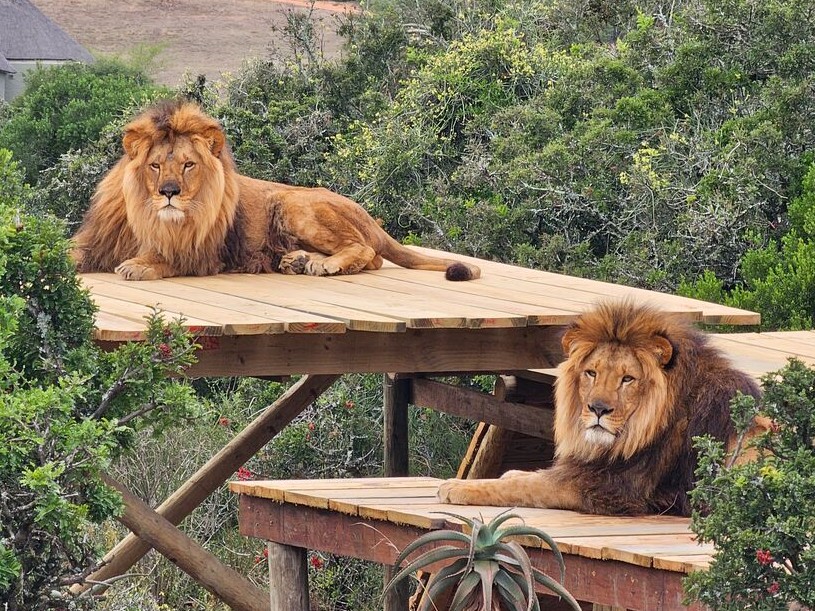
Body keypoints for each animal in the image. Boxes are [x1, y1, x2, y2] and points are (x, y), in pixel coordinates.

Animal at [70, 99, 480, 282]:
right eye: (155, 165)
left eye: (188, 164)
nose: (169, 191)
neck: (151, 216)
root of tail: (366, 214)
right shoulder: (97, 240)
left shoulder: (204, 255)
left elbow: (167, 259)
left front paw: (138, 265)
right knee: (375, 258)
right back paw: (296, 261)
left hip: (296, 205)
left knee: (365, 249)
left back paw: (323, 264)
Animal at [438, 301, 766, 516]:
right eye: (591, 373)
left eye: (627, 379)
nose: (598, 409)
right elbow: (525, 476)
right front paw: (509, 473)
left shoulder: (606, 489)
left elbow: (523, 487)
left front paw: (456, 487)